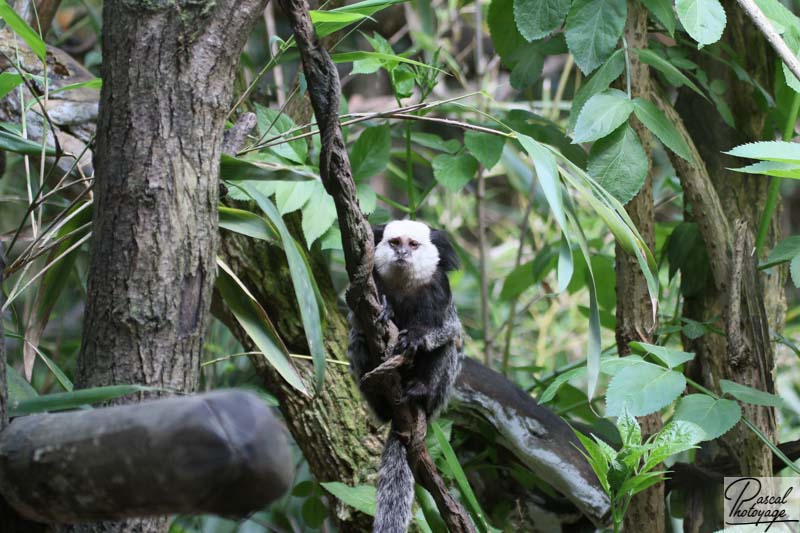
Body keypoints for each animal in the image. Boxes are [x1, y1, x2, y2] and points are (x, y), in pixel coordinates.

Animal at [346, 218, 466, 528]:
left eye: (413, 245)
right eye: (394, 242)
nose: (402, 254)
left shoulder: (439, 290)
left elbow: (449, 329)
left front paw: (415, 339)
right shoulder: (369, 287)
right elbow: (357, 320)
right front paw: (387, 311)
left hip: (437, 398)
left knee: (448, 349)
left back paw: (420, 390)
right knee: (358, 341)